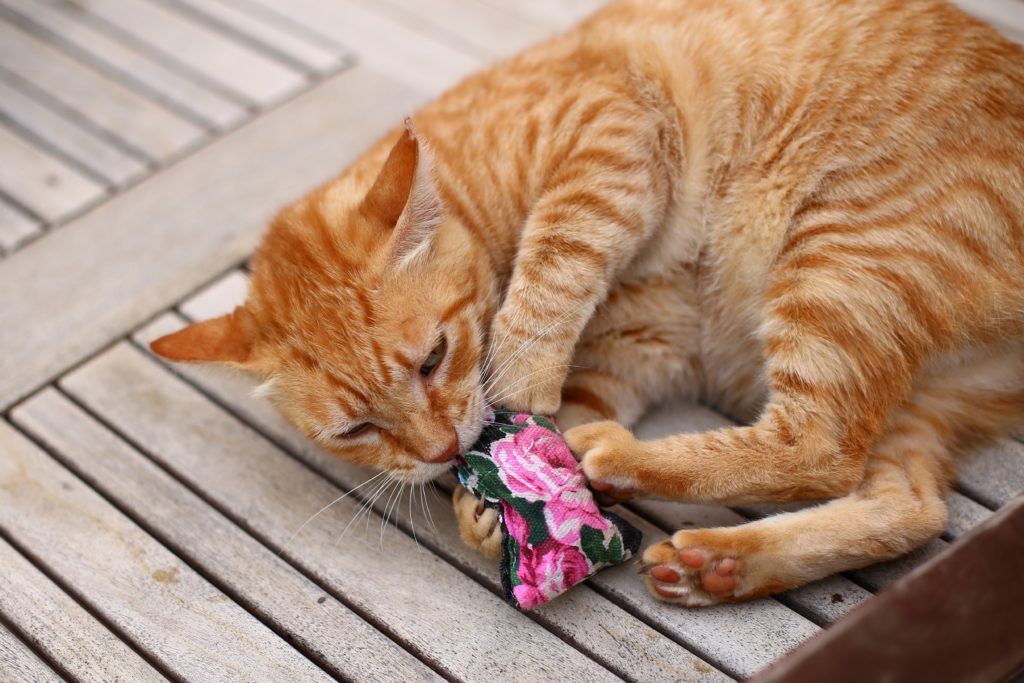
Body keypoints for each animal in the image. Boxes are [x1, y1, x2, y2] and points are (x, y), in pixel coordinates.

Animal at [151, 0, 1024, 610]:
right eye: (355, 430)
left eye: (434, 358)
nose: (441, 451)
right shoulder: (634, 346)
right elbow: (569, 407)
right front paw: (498, 502)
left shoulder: (611, 133)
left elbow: (553, 269)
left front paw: (518, 394)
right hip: (907, 379)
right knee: (907, 504)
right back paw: (724, 564)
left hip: (842, 262)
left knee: (820, 443)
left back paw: (628, 462)